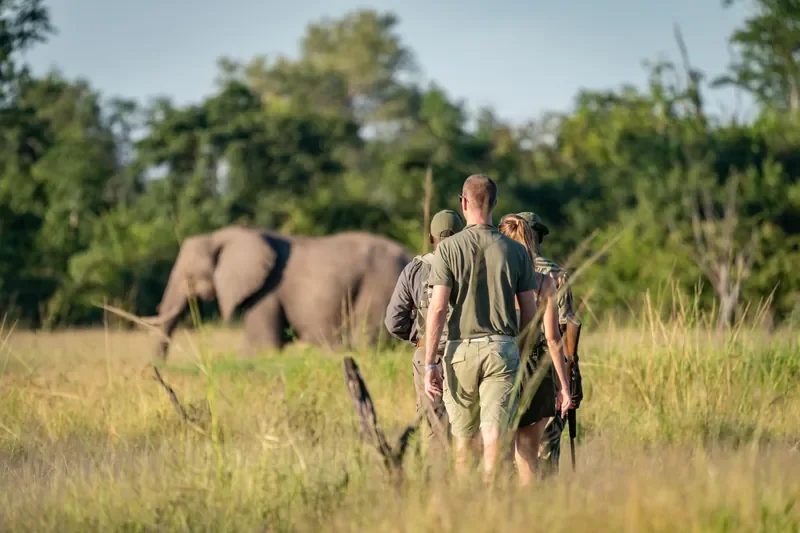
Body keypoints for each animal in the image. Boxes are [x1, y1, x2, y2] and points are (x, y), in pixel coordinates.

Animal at [146, 225, 412, 360]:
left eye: (188, 277)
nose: (157, 368)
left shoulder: (267, 293)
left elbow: (263, 348)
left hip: (381, 287)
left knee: (366, 338)